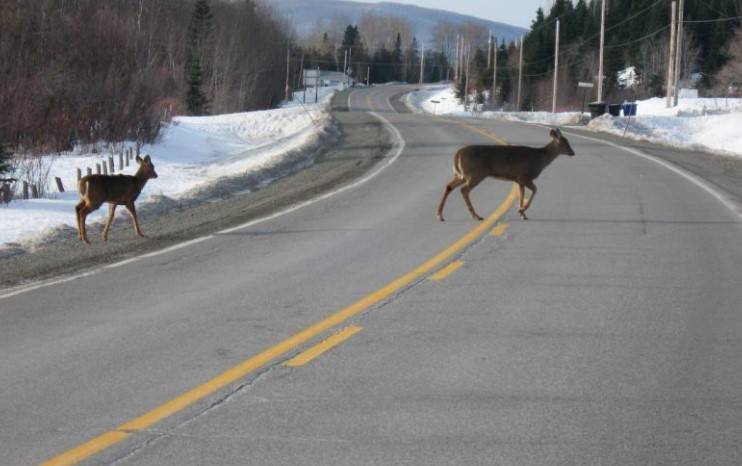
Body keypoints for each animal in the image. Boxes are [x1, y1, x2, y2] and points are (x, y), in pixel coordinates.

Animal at [438, 127, 580, 222]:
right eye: (564, 142)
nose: (572, 152)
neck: (540, 159)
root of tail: (457, 155)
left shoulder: (518, 179)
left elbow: (522, 194)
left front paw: (522, 213)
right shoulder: (524, 176)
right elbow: (534, 190)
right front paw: (522, 211)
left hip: (461, 175)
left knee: (449, 186)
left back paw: (440, 215)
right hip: (475, 174)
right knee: (464, 190)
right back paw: (476, 216)